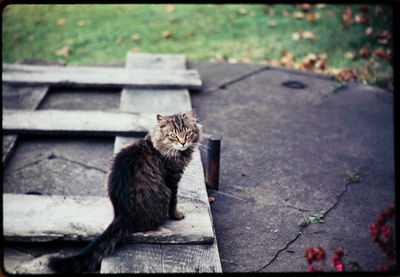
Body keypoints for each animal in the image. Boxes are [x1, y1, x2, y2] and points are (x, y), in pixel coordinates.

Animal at [48, 108, 202, 272]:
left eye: (188, 133)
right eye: (173, 135)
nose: (183, 142)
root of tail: (122, 214)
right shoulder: (172, 181)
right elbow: (174, 202)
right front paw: (177, 215)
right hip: (163, 196)